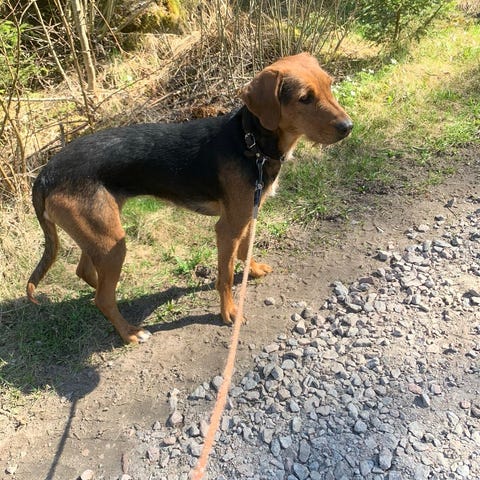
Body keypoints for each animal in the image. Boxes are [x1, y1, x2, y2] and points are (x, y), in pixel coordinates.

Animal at [27, 52, 352, 343]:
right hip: (110, 241)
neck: (250, 143)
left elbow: (245, 250)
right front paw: (229, 312)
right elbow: (225, 276)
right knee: (102, 299)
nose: (348, 128)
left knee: (87, 273)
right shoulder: (227, 227)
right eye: (304, 98)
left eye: (329, 85)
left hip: (100, 233)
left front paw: (253, 270)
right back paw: (130, 332)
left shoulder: (247, 214)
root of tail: (45, 174)